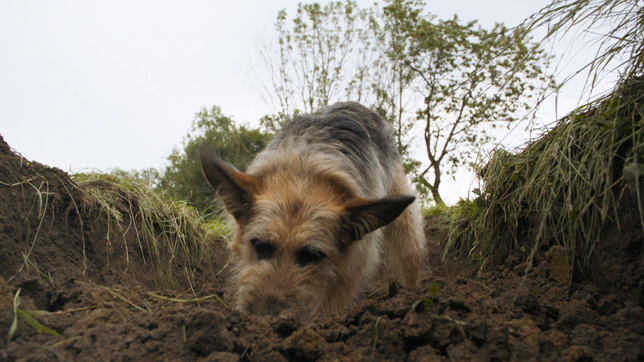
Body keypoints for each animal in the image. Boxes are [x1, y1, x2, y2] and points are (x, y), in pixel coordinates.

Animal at [199, 101, 426, 316]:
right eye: (261, 246)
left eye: (311, 256)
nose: (267, 319)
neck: (303, 171)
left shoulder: (351, 267)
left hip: (405, 225)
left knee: (410, 256)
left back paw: (409, 294)